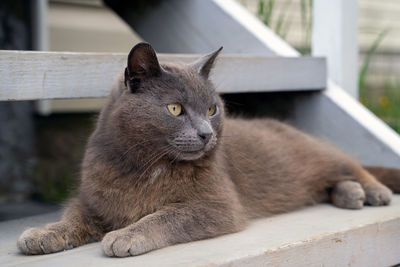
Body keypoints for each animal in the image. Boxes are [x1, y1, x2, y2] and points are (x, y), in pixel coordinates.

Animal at [17, 42, 400, 258]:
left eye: (213, 109)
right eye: (174, 109)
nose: (206, 133)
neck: (145, 166)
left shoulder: (218, 205)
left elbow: (166, 215)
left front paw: (126, 235)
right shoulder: (91, 199)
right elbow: (72, 216)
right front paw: (41, 234)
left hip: (319, 155)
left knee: (352, 164)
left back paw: (372, 191)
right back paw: (351, 194)